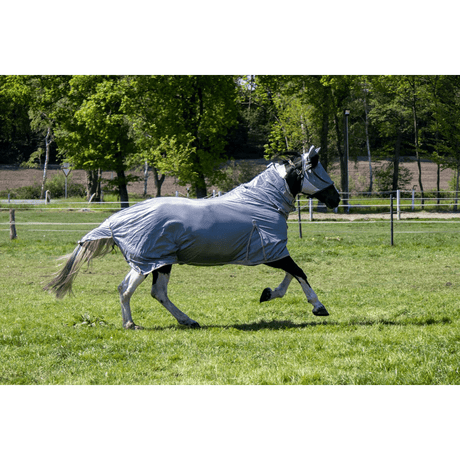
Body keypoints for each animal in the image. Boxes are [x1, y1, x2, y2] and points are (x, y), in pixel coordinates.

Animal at [45, 146, 340, 328]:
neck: (262, 202)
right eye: (318, 170)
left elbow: (292, 273)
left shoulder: (272, 252)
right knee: (135, 290)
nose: (335, 199)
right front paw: (318, 307)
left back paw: (181, 321)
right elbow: (299, 272)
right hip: (151, 261)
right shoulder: (272, 252)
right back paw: (136, 324)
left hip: (154, 262)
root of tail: (114, 220)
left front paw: (268, 294)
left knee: (139, 290)